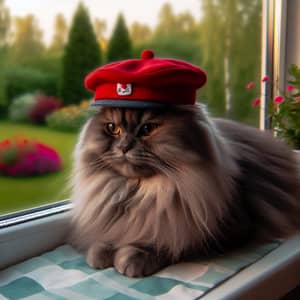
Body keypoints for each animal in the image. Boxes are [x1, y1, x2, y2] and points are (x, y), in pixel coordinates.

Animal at [70, 104, 300, 278]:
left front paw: (132, 257)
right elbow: (111, 233)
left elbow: (169, 243)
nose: (124, 147)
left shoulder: (220, 232)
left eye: (147, 129)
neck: (139, 192)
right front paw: (101, 251)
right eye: (112, 128)